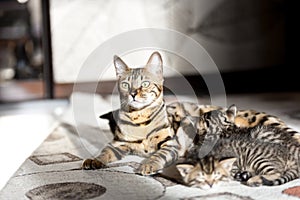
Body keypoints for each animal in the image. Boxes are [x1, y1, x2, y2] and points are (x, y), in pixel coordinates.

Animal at [82, 51, 300, 175]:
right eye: (126, 85)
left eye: (144, 84)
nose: (134, 94)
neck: (140, 119)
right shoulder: (118, 144)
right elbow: (104, 152)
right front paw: (94, 160)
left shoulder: (170, 145)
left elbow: (156, 155)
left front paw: (147, 165)